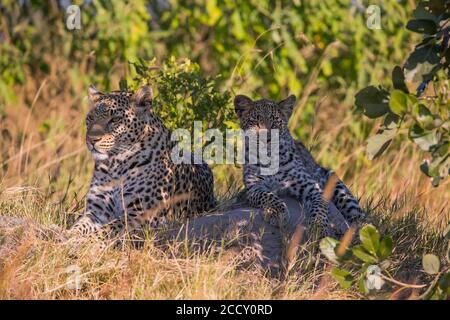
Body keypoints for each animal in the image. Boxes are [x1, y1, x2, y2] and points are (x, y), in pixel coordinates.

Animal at [70, 85, 216, 240]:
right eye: (90, 118)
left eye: (115, 119)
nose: (91, 139)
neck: (114, 165)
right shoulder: (97, 211)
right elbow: (78, 226)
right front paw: (65, 236)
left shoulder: (142, 213)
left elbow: (108, 229)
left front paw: (85, 241)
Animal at [234, 94, 368, 238]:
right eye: (256, 122)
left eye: (275, 122)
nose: (267, 139)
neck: (269, 158)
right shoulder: (254, 187)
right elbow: (269, 196)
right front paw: (278, 214)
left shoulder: (311, 187)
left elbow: (320, 207)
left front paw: (319, 228)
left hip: (338, 186)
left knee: (361, 219)